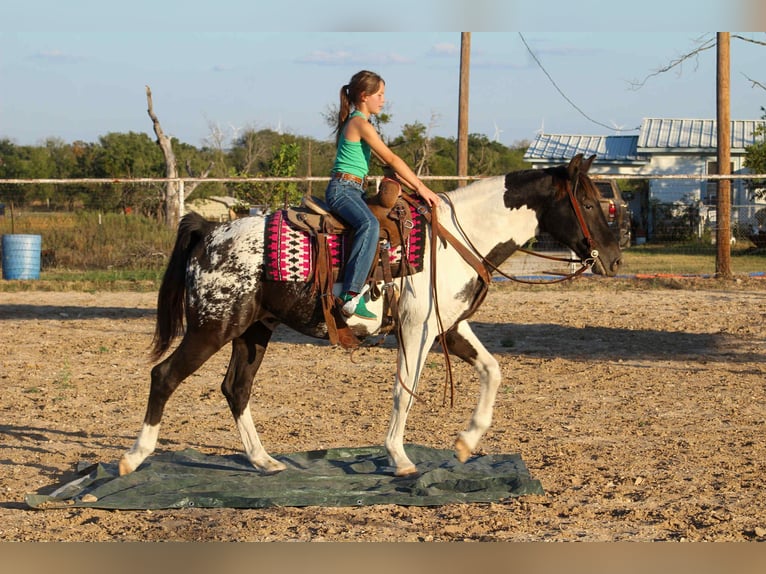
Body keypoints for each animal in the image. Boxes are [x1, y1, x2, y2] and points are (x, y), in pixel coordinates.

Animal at [119, 154, 622, 478]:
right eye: (590, 203)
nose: (615, 260)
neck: (455, 238)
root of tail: (210, 232)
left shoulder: (448, 328)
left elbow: (492, 370)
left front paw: (466, 442)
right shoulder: (417, 330)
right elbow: (405, 392)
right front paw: (399, 458)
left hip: (252, 331)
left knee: (235, 388)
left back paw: (264, 461)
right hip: (212, 328)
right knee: (165, 376)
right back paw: (134, 458)